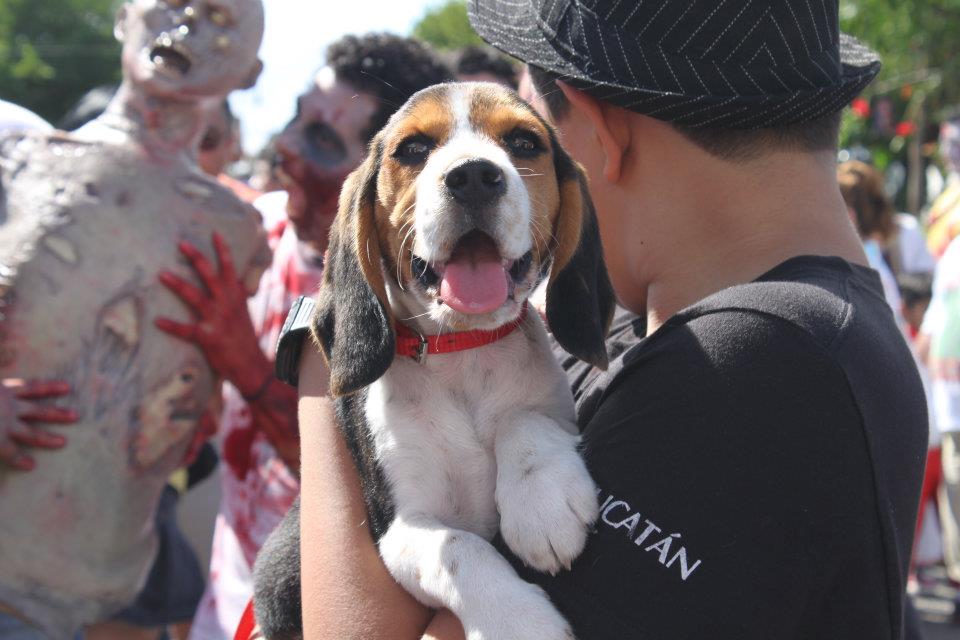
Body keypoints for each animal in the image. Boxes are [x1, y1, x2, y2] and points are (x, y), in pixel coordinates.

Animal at [253, 82, 616, 640]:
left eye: (524, 142)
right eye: (413, 149)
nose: (473, 176)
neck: (461, 354)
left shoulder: (552, 409)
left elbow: (525, 420)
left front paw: (542, 497)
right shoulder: (401, 531)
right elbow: (463, 552)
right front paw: (519, 622)